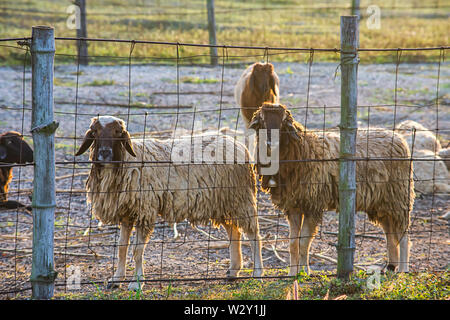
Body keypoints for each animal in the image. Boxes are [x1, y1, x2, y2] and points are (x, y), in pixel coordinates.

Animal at [74, 115, 264, 290]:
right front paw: (117, 278)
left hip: (241, 198)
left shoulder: (145, 210)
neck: (129, 161)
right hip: (224, 201)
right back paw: (233, 271)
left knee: (253, 235)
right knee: (234, 232)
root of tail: (238, 145)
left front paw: (136, 283)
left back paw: (257, 273)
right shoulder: (127, 213)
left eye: (118, 132)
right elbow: (122, 247)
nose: (105, 153)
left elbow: (137, 249)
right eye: (95, 132)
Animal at [250, 102, 414, 276]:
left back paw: (403, 269)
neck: (303, 149)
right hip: (382, 203)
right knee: (390, 233)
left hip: (399, 196)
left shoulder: (312, 205)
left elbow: (304, 242)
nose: (270, 143)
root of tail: (398, 138)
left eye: (282, 123)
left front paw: (305, 272)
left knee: (404, 236)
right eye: (262, 121)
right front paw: (292, 273)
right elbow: (293, 243)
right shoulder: (293, 206)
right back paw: (391, 267)